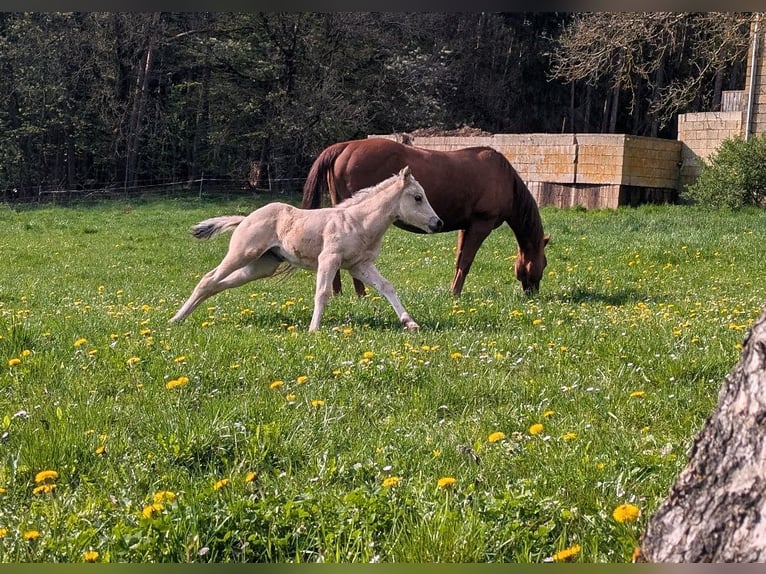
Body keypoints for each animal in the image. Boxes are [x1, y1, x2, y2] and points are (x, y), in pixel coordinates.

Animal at [170, 166, 443, 332]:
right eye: (417, 197)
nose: (437, 223)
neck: (357, 222)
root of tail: (245, 218)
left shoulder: (359, 265)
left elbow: (387, 286)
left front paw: (410, 323)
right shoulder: (329, 260)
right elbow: (322, 293)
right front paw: (313, 329)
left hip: (261, 267)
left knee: (217, 285)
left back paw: (181, 318)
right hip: (242, 254)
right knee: (208, 279)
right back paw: (174, 320)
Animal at [301, 137, 549, 297]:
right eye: (544, 263)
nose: (533, 294)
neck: (504, 178)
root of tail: (345, 146)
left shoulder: (466, 227)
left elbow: (459, 260)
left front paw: (453, 290)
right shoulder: (481, 224)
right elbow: (466, 261)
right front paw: (455, 294)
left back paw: (338, 293)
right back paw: (360, 294)